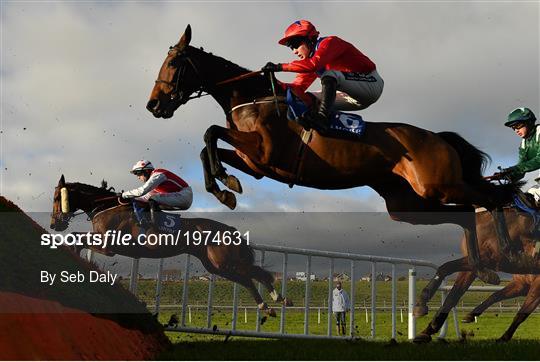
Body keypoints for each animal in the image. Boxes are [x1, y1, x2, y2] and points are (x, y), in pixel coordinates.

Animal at [50, 174, 292, 316]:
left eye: (56, 198)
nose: (54, 224)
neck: (106, 207)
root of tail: (230, 230)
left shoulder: (109, 245)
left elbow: (77, 238)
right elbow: (76, 239)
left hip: (225, 261)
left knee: (256, 274)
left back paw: (277, 298)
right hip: (215, 266)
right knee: (246, 279)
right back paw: (266, 306)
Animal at [144, 26, 520, 286]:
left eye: (173, 62)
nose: (153, 105)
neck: (252, 97)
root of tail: (438, 137)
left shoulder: (264, 150)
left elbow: (209, 132)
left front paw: (225, 184)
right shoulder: (257, 164)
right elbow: (208, 146)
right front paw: (225, 187)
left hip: (439, 185)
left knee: (493, 198)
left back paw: (506, 251)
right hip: (407, 204)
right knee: (466, 214)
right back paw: (482, 269)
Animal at [410, 206, 540, 342]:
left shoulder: (496, 262)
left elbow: (521, 314)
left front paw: (504, 337)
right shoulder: (520, 283)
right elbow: (455, 294)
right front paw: (429, 328)